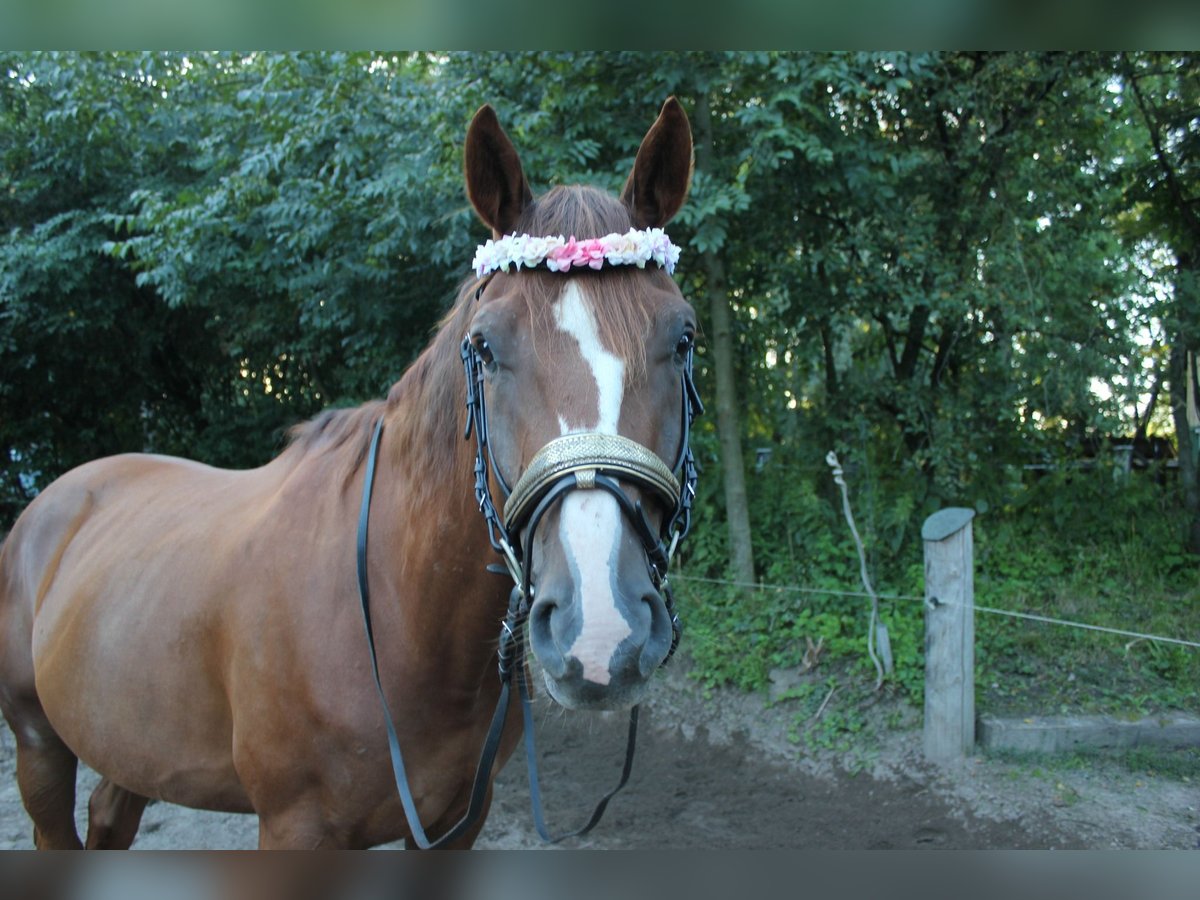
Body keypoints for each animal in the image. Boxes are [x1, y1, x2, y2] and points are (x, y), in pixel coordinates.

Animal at [0, 100, 700, 854]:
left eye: (683, 337)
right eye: (484, 346)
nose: (600, 633)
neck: (402, 612)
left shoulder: (457, 823)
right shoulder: (293, 829)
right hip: (38, 744)